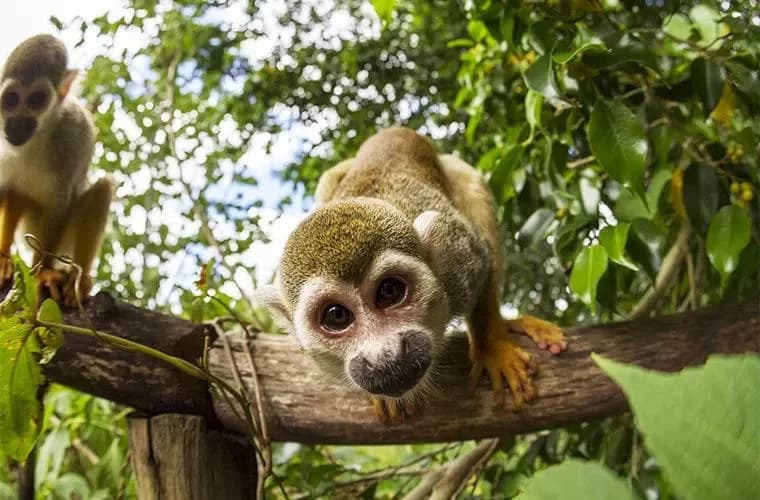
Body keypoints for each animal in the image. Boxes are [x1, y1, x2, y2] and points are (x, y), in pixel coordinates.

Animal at [0, 34, 113, 307]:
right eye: (11, 100)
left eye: (37, 100)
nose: (18, 122)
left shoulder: (71, 135)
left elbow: (59, 203)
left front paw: (43, 272)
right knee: (16, 191)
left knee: (102, 189)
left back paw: (77, 280)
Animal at [261, 127, 567, 422]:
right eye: (336, 316)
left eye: (390, 291)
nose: (384, 356)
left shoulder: (459, 260)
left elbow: (483, 261)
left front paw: (493, 347)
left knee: (472, 185)